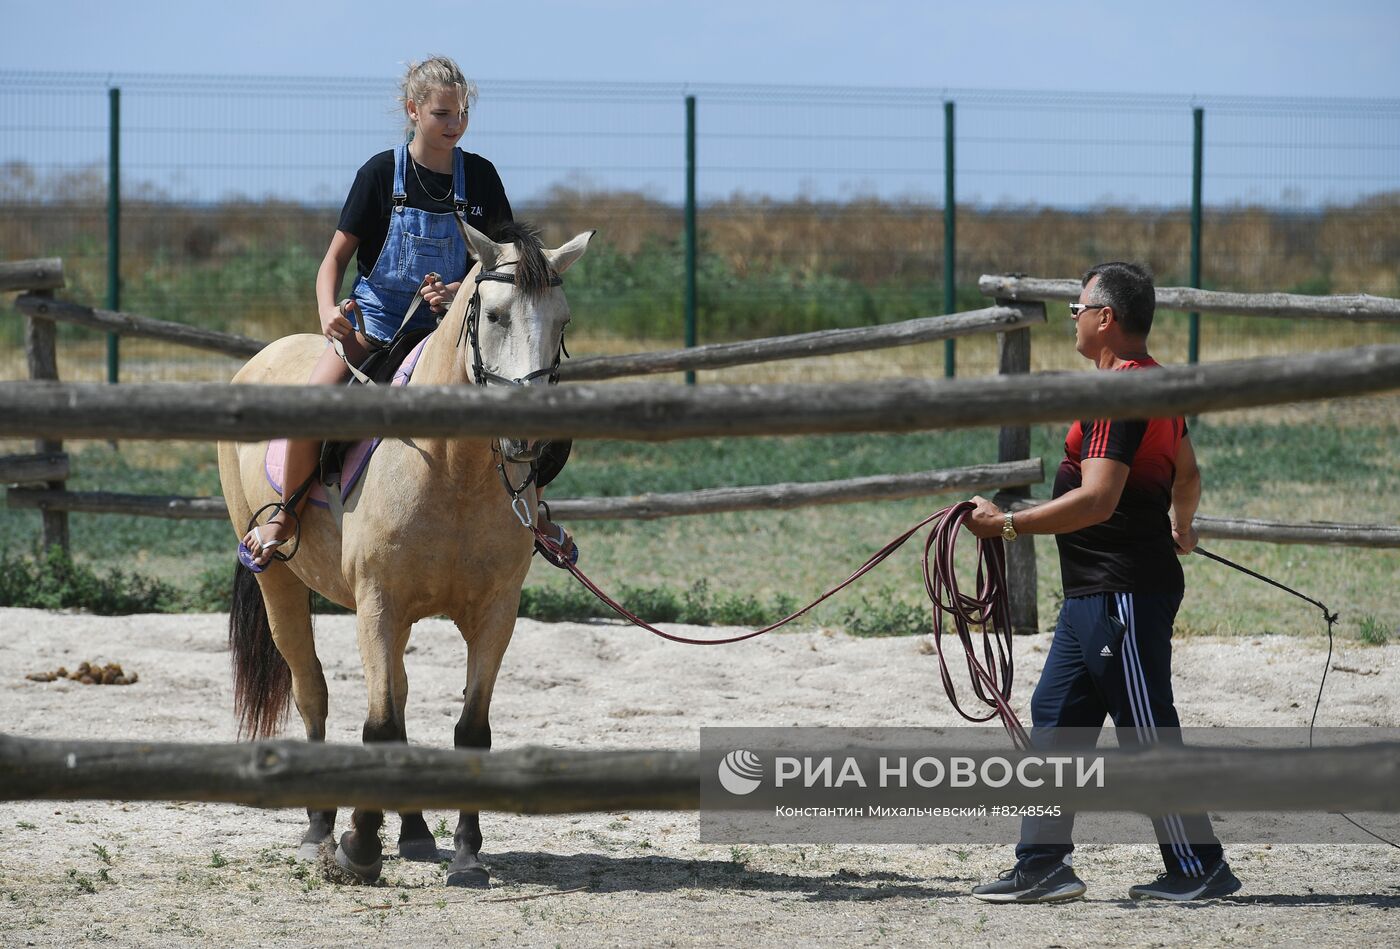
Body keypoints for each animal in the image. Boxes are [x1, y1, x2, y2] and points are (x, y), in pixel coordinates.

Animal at [215, 219, 593, 890]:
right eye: (495, 315)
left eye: (563, 320)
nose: (535, 441)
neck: (452, 469)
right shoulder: (378, 605)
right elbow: (380, 724)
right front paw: (359, 845)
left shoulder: (495, 613)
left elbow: (469, 729)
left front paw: (467, 851)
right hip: (280, 584)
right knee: (312, 691)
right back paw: (319, 829)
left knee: (401, 694)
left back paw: (415, 831)